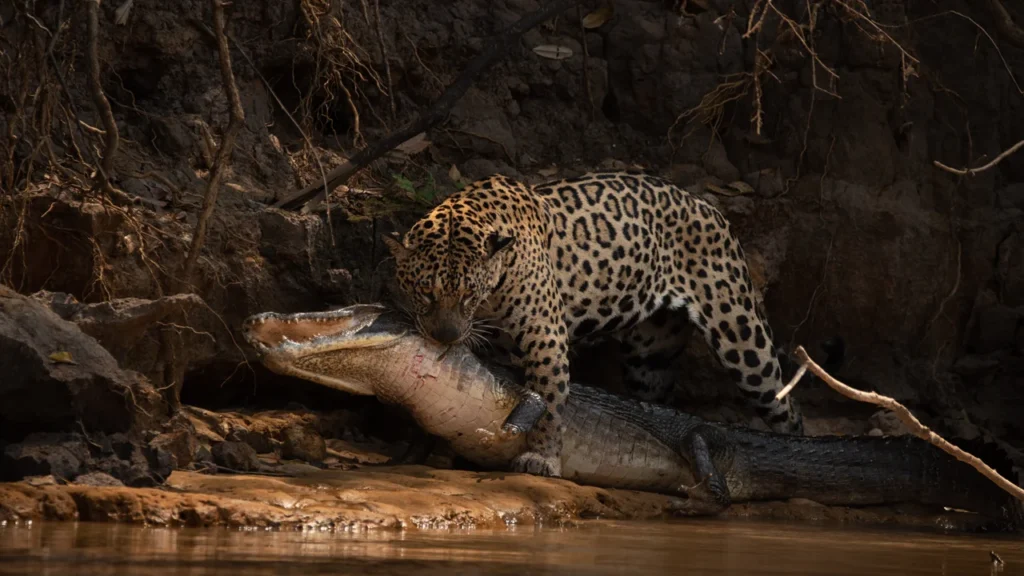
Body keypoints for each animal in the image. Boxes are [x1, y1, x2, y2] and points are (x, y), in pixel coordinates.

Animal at [382, 170, 802, 478]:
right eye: (425, 292)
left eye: (470, 294)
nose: (445, 335)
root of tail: (710, 206)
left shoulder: (544, 333)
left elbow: (549, 399)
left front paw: (542, 458)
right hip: (650, 360)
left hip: (742, 338)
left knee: (786, 407)